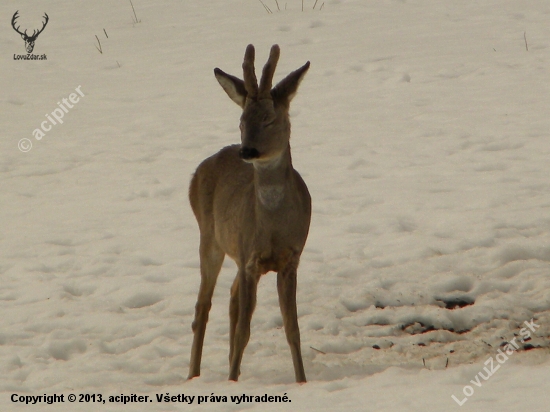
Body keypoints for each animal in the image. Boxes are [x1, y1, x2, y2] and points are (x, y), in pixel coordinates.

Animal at [189, 43, 310, 382]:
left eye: (269, 118)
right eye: (242, 121)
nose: (247, 150)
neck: (273, 226)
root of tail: (199, 170)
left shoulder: (290, 259)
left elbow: (293, 329)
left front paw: (302, 380)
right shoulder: (250, 259)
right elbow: (245, 330)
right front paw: (231, 381)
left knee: (230, 298)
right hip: (209, 239)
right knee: (202, 306)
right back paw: (194, 375)